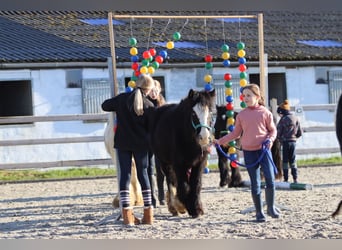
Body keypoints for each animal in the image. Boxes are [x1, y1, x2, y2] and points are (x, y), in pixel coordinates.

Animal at [147, 89, 216, 218]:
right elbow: (183, 186)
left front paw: (197, 208)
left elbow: (196, 184)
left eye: (211, 112)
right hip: (164, 162)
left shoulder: (200, 163)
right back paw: (175, 206)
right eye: (193, 114)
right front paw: (186, 207)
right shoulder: (178, 164)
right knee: (170, 180)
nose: (204, 138)